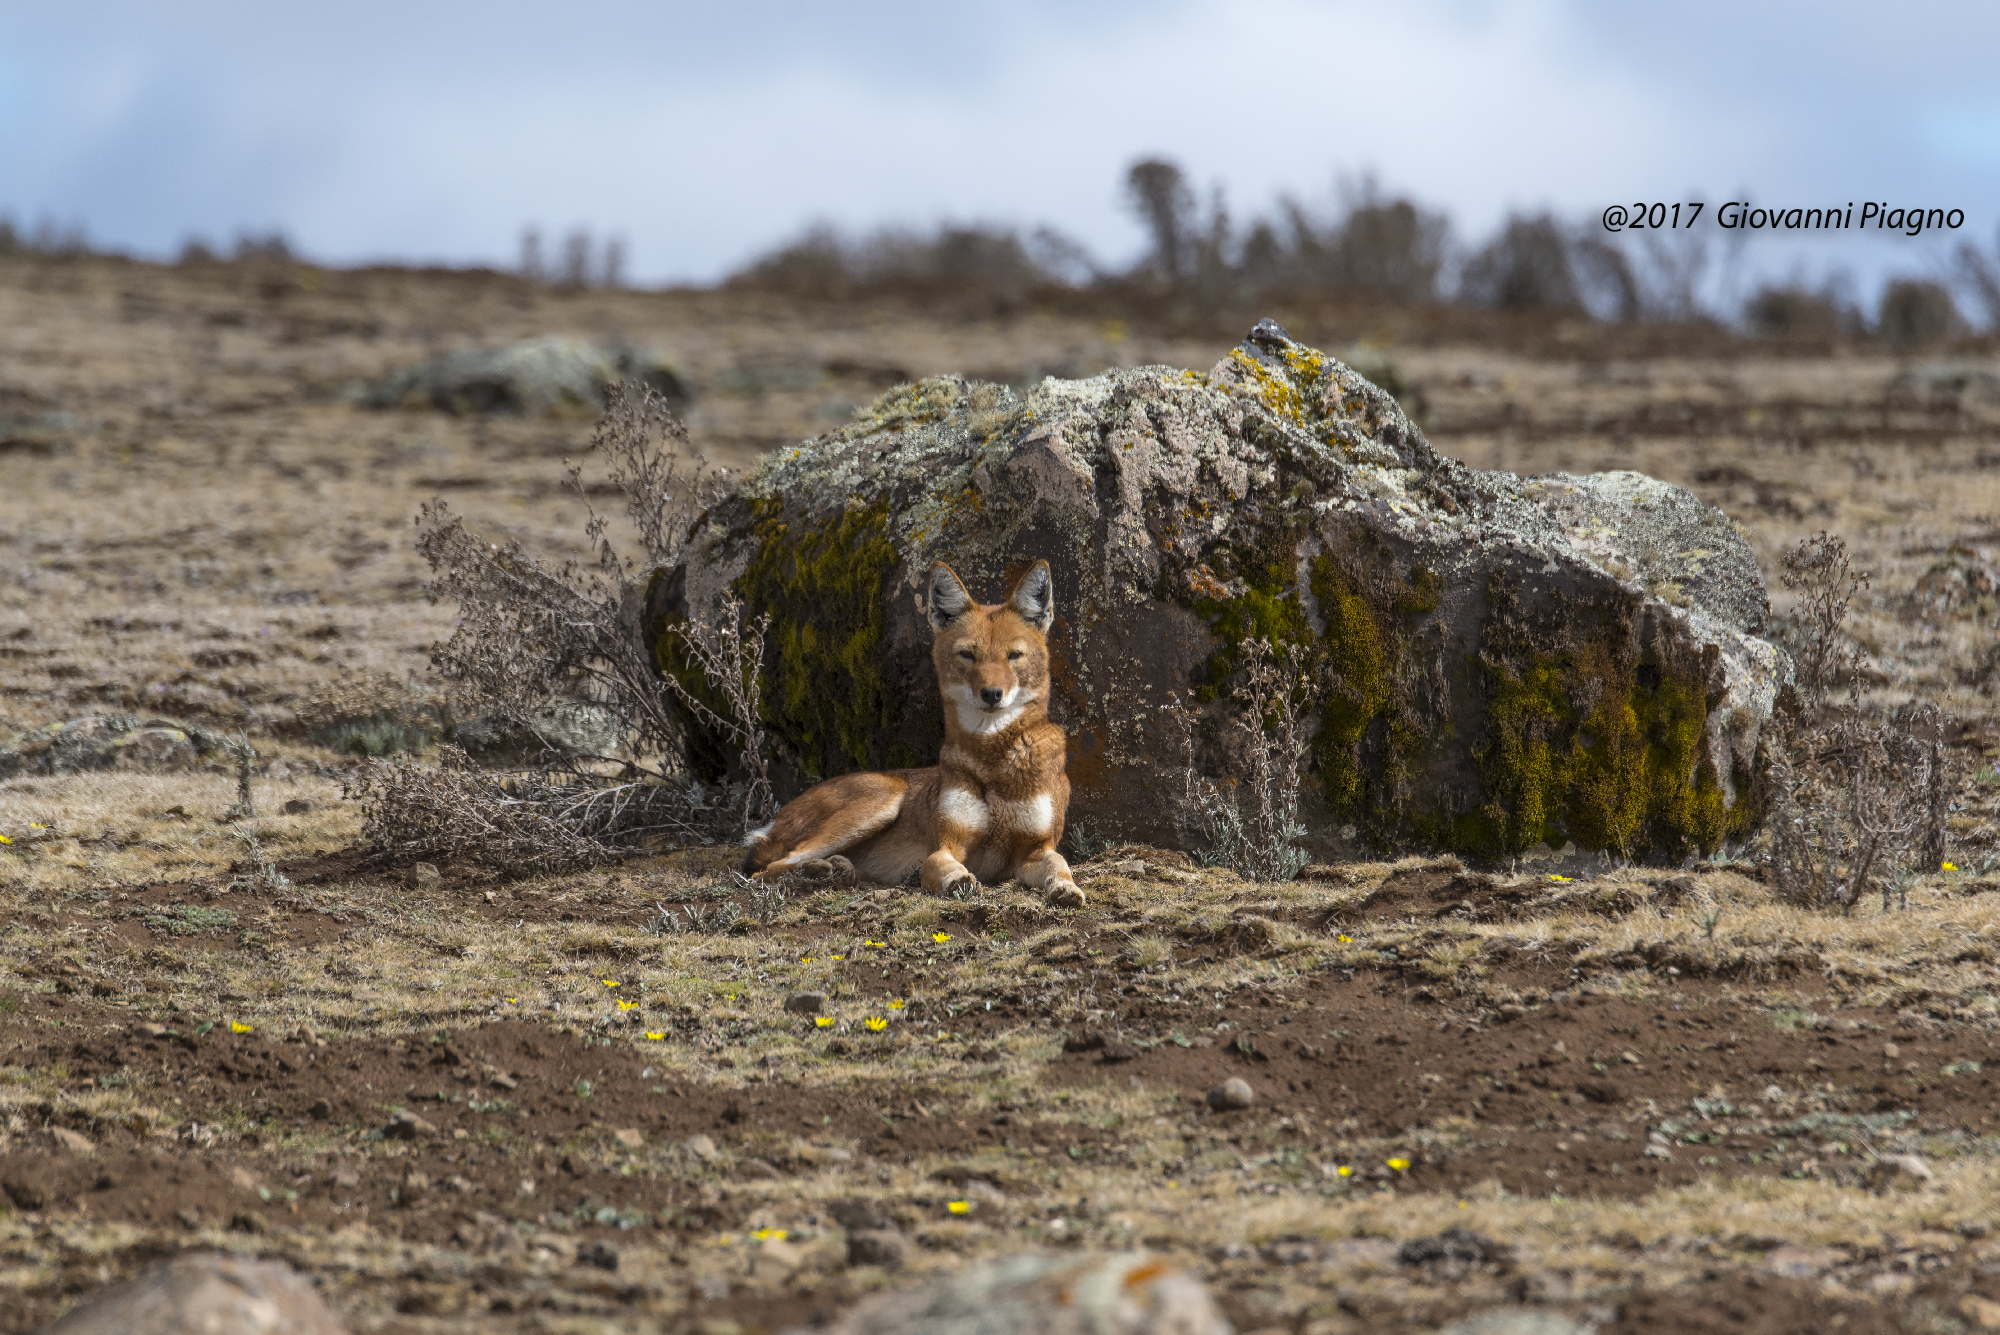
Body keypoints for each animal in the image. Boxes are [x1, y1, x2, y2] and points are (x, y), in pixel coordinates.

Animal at [740, 560, 1085, 908]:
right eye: (967, 655)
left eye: (1013, 655)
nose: (991, 693)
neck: (992, 765)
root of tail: (777, 820)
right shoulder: (947, 842)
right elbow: (938, 864)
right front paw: (957, 880)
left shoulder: (1036, 848)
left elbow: (1059, 864)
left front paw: (1067, 888)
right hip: (884, 799)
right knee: (768, 870)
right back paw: (817, 872)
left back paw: (837, 871)